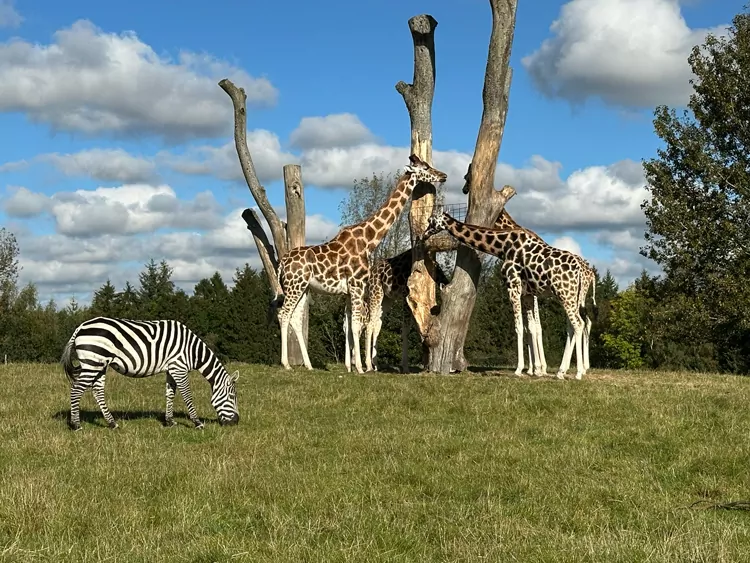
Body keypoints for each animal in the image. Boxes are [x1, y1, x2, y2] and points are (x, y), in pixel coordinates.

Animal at [63, 318, 242, 432]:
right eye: (232, 396)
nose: (236, 423)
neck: (192, 350)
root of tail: (80, 327)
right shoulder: (179, 367)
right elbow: (187, 396)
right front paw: (197, 423)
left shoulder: (171, 369)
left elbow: (170, 394)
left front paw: (169, 422)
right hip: (92, 363)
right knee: (76, 390)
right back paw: (76, 425)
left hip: (99, 365)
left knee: (97, 391)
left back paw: (112, 424)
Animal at [274, 154, 446, 374]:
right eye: (425, 168)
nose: (443, 175)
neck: (369, 239)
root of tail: (282, 263)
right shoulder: (357, 285)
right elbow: (357, 325)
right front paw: (361, 368)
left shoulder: (349, 290)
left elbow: (351, 326)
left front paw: (354, 366)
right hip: (294, 286)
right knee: (283, 314)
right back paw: (286, 364)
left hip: (303, 288)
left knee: (295, 318)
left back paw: (309, 365)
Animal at [426, 214, 592, 382]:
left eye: (430, 221)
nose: (424, 235)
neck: (502, 246)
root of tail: (582, 271)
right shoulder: (528, 294)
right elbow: (531, 327)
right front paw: (537, 369)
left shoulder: (513, 287)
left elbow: (519, 327)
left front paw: (520, 369)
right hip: (571, 297)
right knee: (576, 324)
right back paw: (562, 371)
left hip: (566, 295)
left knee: (579, 324)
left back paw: (578, 372)